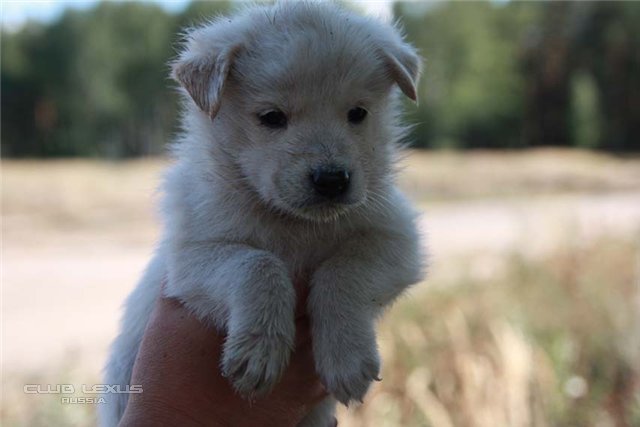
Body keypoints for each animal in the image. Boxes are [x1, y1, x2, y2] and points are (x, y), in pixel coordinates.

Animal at [100, 2, 424, 426]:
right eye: (272, 117)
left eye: (358, 113)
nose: (332, 180)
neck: (295, 224)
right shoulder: (191, 257)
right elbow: (259, 264)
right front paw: (259, 350)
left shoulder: (396, 239)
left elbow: (344, 272)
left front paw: (347, 357)